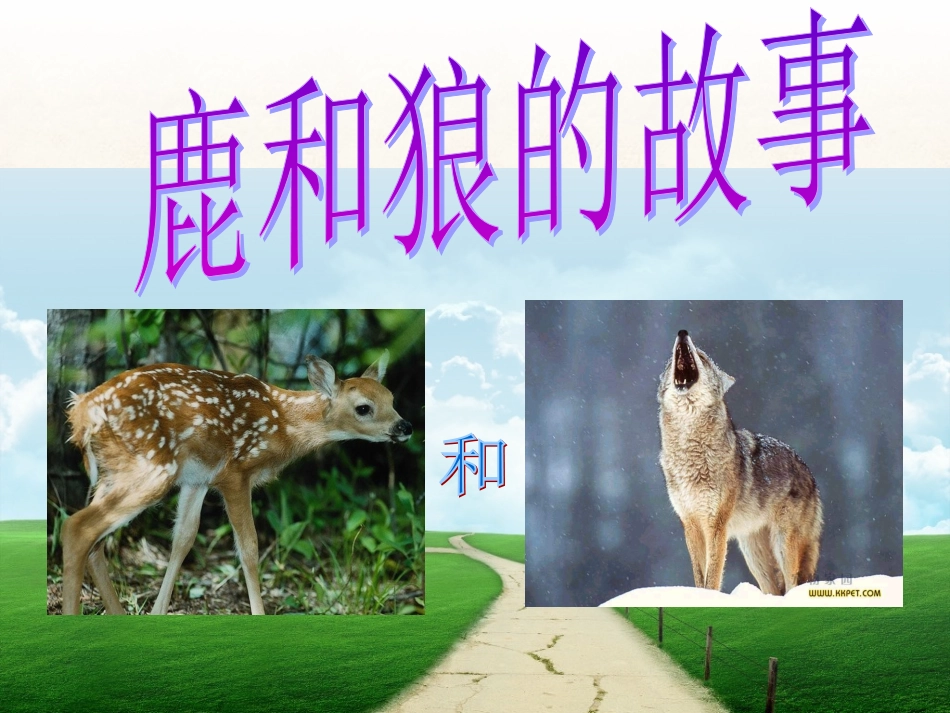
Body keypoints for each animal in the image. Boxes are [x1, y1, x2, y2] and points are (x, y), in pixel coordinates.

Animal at [61, 350, 413, 615]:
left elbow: (183, 538)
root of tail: (80, 413)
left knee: (95, 542)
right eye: (363, 408)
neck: (283, 423)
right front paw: (259, 614)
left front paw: (158, 612)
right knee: (78, 527)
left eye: (391, 398)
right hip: (151, 468)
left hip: (114, 472)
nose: (405, 427)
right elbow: (249, 548)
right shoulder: (235, 473)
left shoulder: (198, 479)